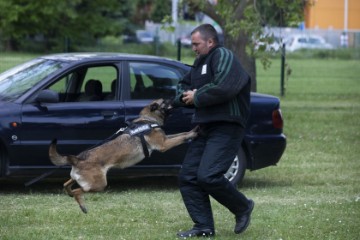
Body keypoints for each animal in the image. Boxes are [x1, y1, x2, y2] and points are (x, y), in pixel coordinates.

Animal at [48, 98, 197, 213]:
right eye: (166, 101)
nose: (180, 98)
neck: (148, 120)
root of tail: (77, 159)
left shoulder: (166, 139)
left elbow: (182, 134)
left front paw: (192, 131)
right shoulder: (164, 144)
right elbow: (181, 137)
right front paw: (194, 133)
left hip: (81, 179)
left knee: (67, 184)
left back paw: (70, 194)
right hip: (99, 184)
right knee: (79, 191)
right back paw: (82, 205)